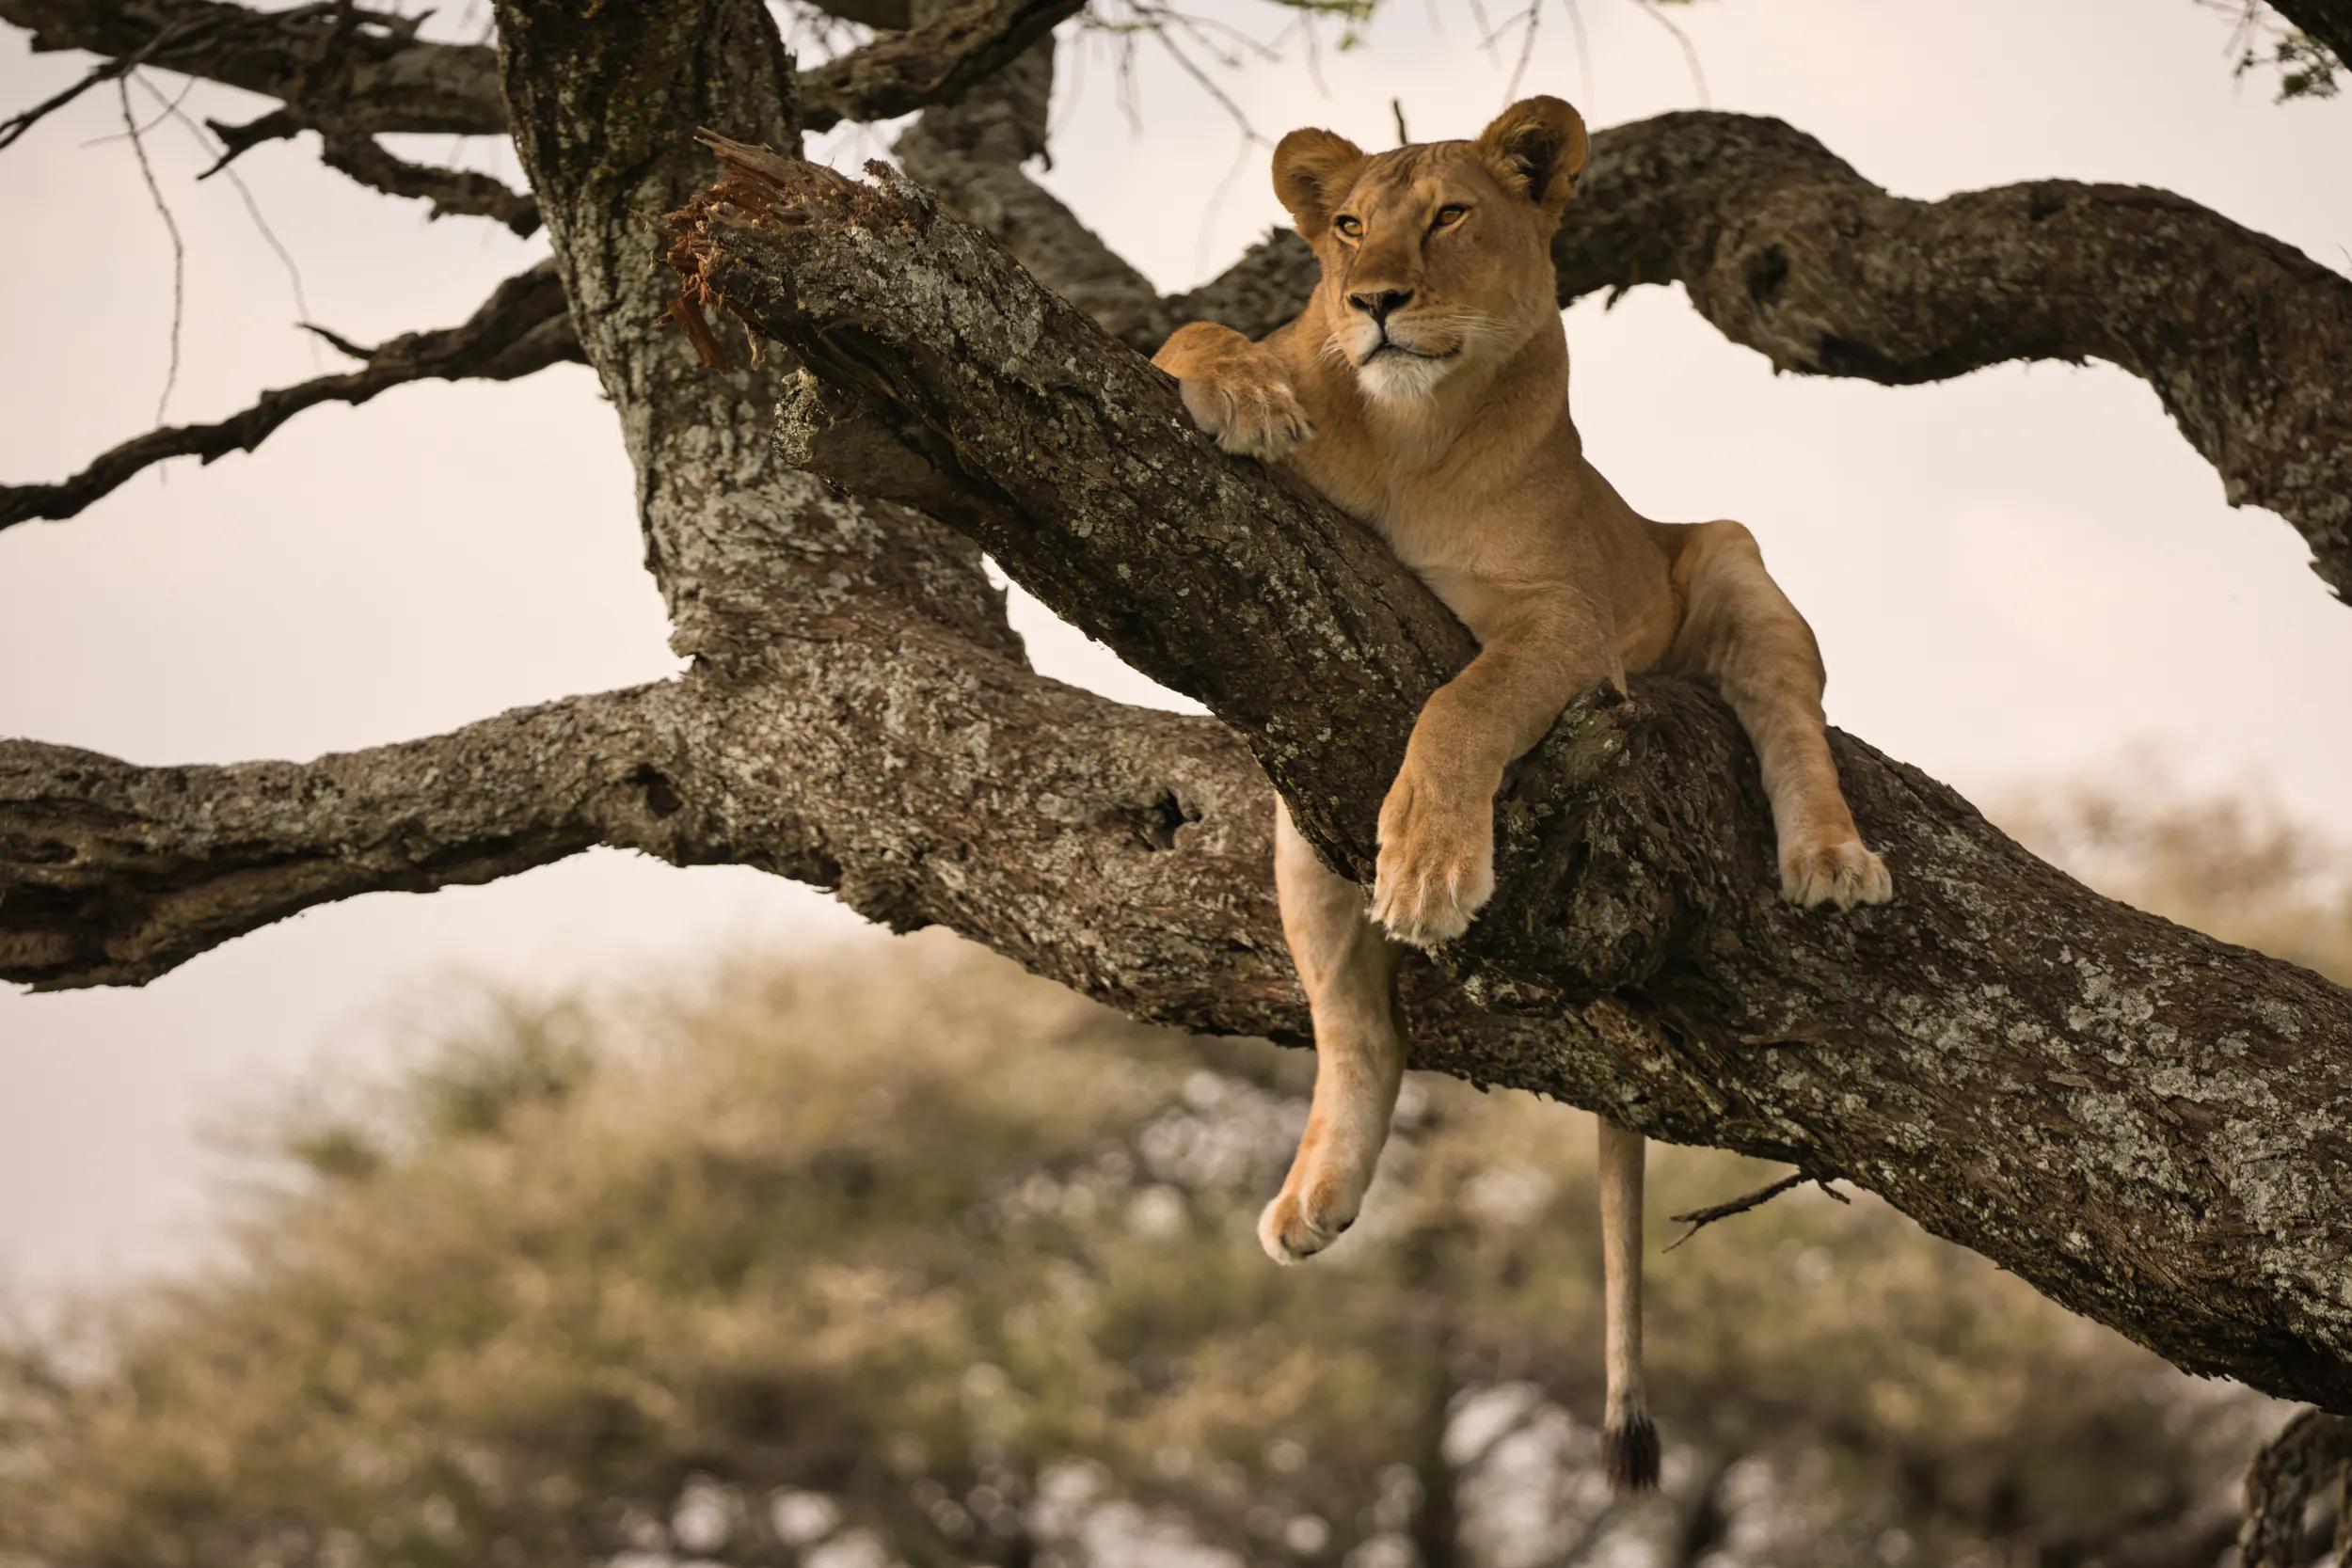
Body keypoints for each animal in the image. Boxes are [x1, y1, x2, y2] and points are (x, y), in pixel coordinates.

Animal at [1152, 96, 1893, 1492]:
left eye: (1449, 216)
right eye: (1346, 225)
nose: (1375, 300)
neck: (1409, 427)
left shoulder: (1563, 626)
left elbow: (1461, 705)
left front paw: (1438, 863)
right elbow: (1186, 336)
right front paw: (1247, 389)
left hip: (1725, 557)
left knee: (1786, 708)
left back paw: (1829, 857)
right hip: (1301, 809)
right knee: (1358, 1025)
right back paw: (1317, 1194)